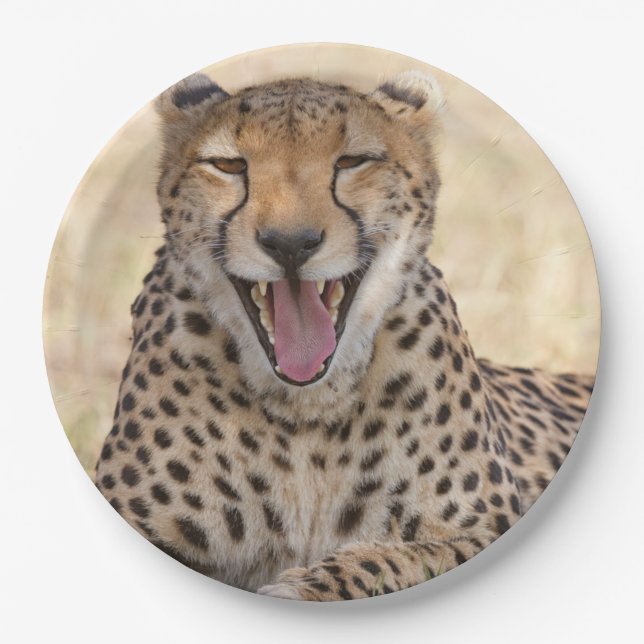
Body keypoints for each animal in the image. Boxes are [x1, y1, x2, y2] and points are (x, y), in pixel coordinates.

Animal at [94, 70, 594, 601]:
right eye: (228, 165)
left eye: (352, 161)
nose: (290, 243)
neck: (305, 411)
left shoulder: (479, 530)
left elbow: (389, 560)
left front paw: (299, 589)